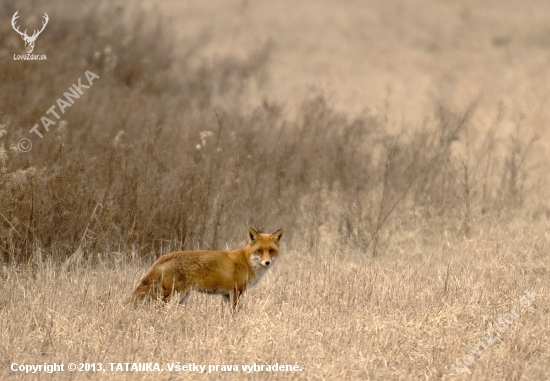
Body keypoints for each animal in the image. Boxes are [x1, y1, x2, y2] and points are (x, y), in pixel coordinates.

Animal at [127, 227, 284, 310]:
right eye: (259, 251)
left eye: (271, 250)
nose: (267, 262)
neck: (247, 260)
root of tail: (164, 257)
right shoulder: (236, 291)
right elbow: (236, 311)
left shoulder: (226, 294)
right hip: (172, 295)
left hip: (182, 297)